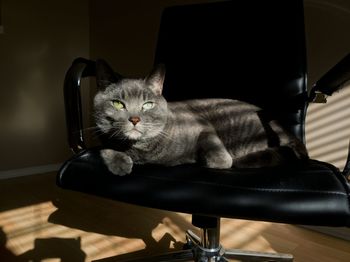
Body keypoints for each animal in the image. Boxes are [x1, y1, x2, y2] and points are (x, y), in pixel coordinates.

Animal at [93, 59, 308, 176]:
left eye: (148, 104)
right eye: (118, 103)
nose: (135, 119)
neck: (145, 151)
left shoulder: (201, 125)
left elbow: (221, 159)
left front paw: (204, 160)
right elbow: (103, 148)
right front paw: (119, 163)